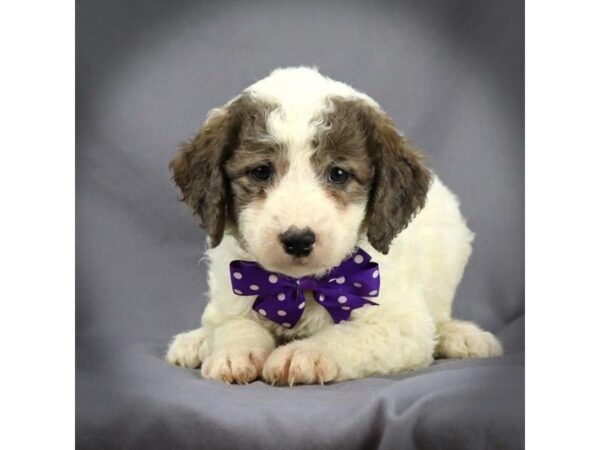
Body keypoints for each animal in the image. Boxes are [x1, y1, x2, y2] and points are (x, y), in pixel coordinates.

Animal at [164, 66, 502, 384]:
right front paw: (233, 354)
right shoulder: (232, 292)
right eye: (261, 171)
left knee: (440, 317)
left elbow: (349, 336)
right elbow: (233, 325)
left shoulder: (403, 327)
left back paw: (461, 336)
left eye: (338, 174)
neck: (300, 286)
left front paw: (304, 353)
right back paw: (193, 342)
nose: (298, 240)